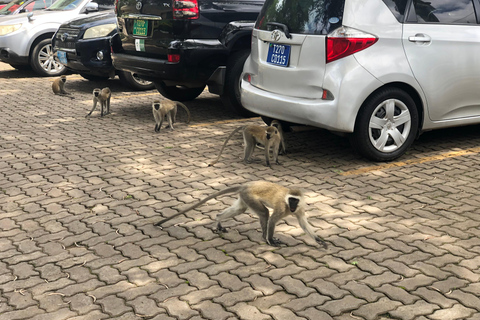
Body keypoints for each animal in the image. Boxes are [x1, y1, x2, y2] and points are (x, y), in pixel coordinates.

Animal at [156, 180, 328, 248]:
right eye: (290, 200)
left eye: (295, 201)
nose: (291, 206)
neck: (288, 205)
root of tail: (246, 185)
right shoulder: (281, 206)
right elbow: (272, 220)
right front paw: (271, 240)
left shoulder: (300, 208)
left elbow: (303, 223)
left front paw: (319, 240)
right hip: (250, 196)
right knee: (264, 213)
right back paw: (264, 238)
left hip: (244, 198)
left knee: (240, 210)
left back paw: (218, 219)